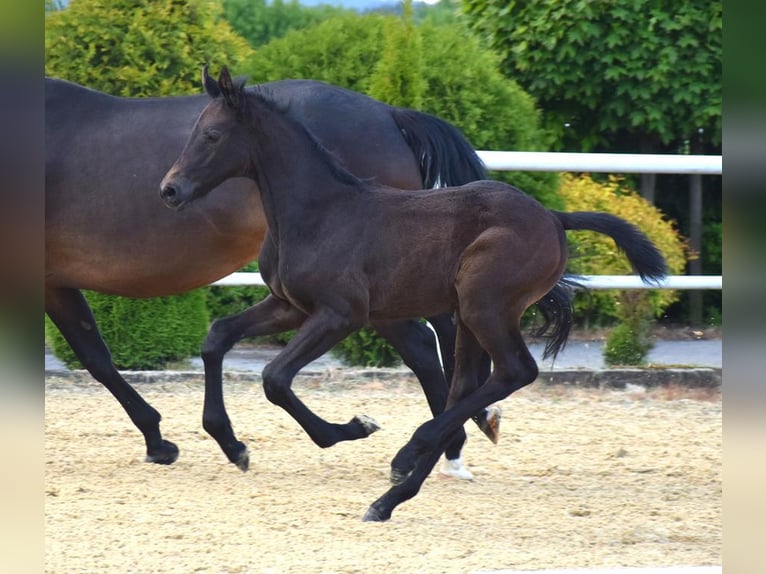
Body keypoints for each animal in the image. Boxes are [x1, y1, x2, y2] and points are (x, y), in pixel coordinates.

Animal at [46, 74, 498, 474]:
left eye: (212, 135)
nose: (169, 190)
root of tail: (389, 113)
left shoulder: (338, 312)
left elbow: (271, 377)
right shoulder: (291, 304)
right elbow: (115, 354)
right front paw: (199, 443)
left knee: (426, 342)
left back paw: (447, 444)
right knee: (434, 340)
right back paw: (453, 440)